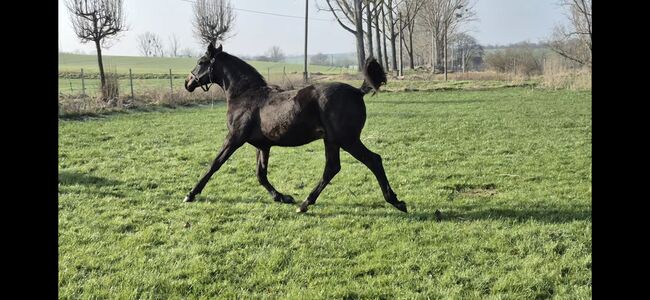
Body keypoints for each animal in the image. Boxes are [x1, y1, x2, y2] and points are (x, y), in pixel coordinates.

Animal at [182, 42, 404, 213]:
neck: (246, 95)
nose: (187, 82)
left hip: (347, 139)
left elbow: (214, 164)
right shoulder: (263, 146)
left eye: (201, 62)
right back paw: (305, 203)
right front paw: (282, 197)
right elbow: (261, 174)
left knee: (372, 160)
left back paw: (395, 201)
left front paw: (190, 194)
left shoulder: (234, 138)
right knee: (332, 168)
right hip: (332, 140)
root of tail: (357, 92)